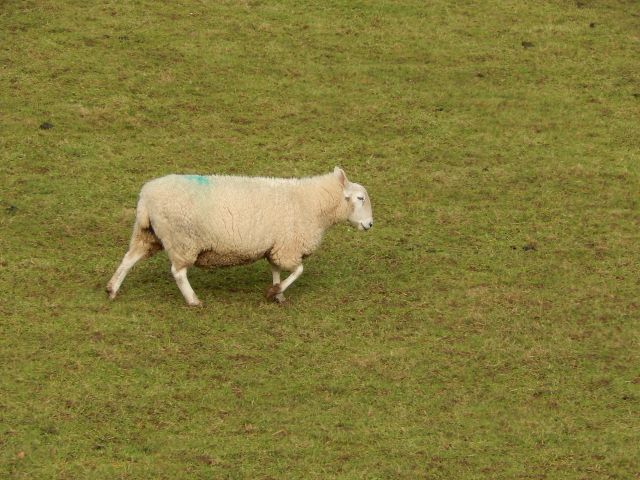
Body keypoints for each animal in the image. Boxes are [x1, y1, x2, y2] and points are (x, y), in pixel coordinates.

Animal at [106, 167, 373, 305]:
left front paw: (278, 293)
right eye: (360, 198)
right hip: (183, 239)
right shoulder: (288, 246)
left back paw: (112, 289)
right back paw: (193, 300)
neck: (312, 203)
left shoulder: (276, 246)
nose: (370, 224)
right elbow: (298, 270)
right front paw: (275, 292)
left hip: (148, 234)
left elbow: (276, 270)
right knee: (178, 272)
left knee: (129, 259)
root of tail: (145, 197)